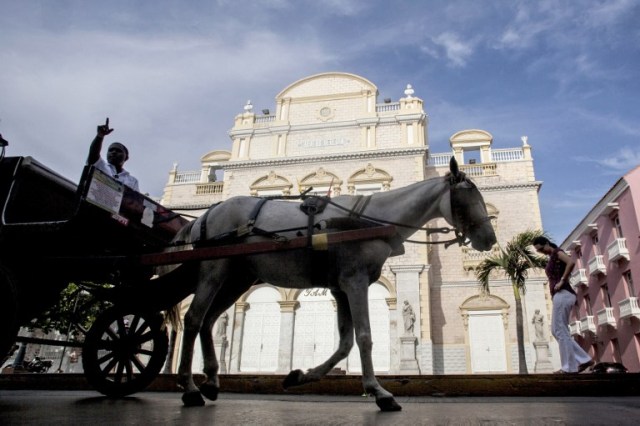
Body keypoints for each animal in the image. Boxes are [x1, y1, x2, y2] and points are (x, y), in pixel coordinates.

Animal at [170, 158, 496, 412]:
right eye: (468, 197)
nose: (490, 239)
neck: (372, 219)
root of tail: (208, 213)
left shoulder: (341, 289)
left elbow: (345, 343)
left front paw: (302, 375)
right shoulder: (355, 282)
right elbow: (364, 336)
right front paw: (380, 392)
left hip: (236, 280)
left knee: (209, 320)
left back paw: (212, 381)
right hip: (213, 272)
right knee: (194, 318)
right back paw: (189, 388)